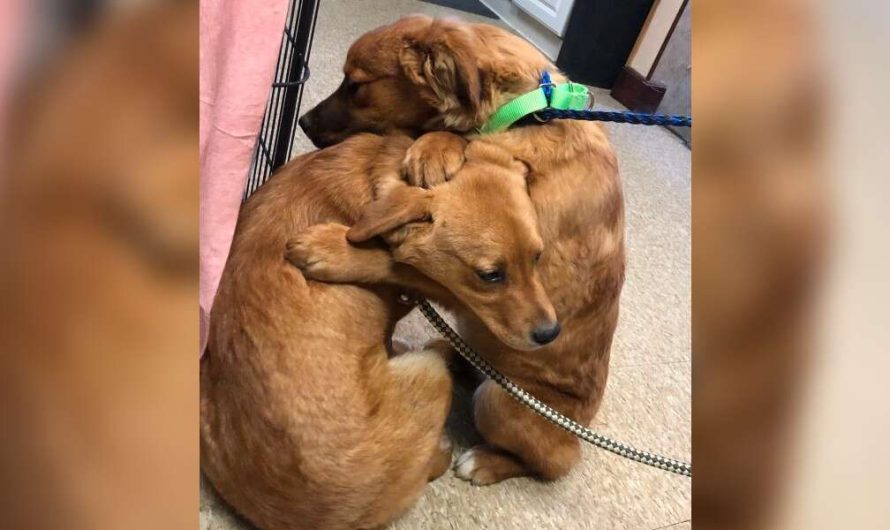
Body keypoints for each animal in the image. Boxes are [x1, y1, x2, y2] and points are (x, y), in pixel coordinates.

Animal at [199, 132, 556, 528]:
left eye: (538, 256)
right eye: (490, 275)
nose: (551, 333)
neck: (372, 177)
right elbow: (401, 270)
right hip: (431, 372)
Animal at [300, 15, 624, 482]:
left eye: (356, 85)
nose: (303, 122)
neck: (527, 112)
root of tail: (579, 429)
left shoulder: (496, 279)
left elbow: (394, 261)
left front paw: (335, 250)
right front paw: (438, 145)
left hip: (499, 403)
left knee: (551, 464)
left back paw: (486, 462)